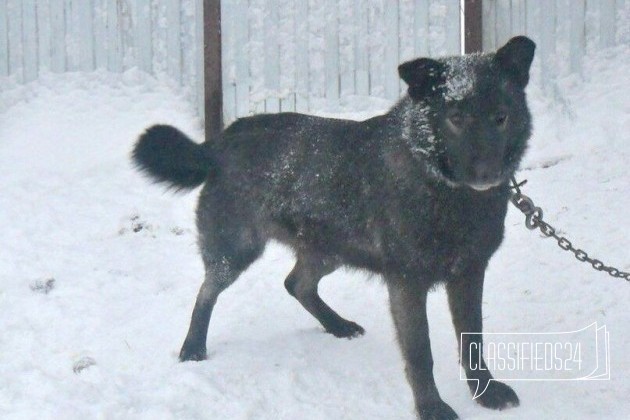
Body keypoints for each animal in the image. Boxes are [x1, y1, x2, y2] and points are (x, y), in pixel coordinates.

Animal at [133, 37, 540, 420]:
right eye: (455, 116)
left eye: (500, 117)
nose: (487, 175)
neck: (443, 188)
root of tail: (221, 141)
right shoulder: (407, 282)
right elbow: (420, 353)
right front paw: (431, 407)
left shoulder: (469, 273)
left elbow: (473, 340)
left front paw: (484, 392)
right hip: (236, 250)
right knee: (207, 291)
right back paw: (193, 347)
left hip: (331, 247)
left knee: (296, 284)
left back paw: (337, 325)